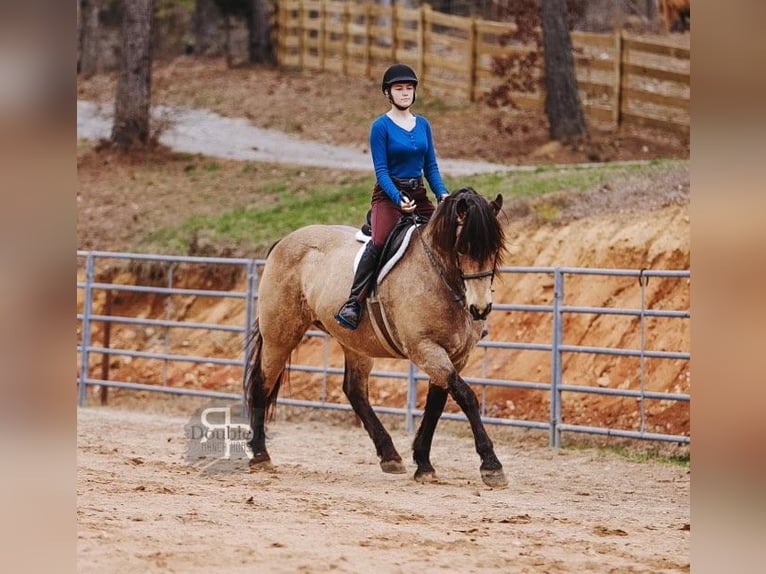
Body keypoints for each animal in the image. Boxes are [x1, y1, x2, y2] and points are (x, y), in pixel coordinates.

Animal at [246, 187, 510, 488]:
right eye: (463, 248)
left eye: (494, 250)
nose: (480, 309)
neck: (438, 276)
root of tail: (284, 241)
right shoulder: (425, 349)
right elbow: (466, 397)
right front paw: (491, 465)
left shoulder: (455, 356)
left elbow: (436, 404)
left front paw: (423, 463)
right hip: (280, 336)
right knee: (261, 383)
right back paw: (260, 455)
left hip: (354, 343)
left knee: (355, 391)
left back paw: (390, 455)